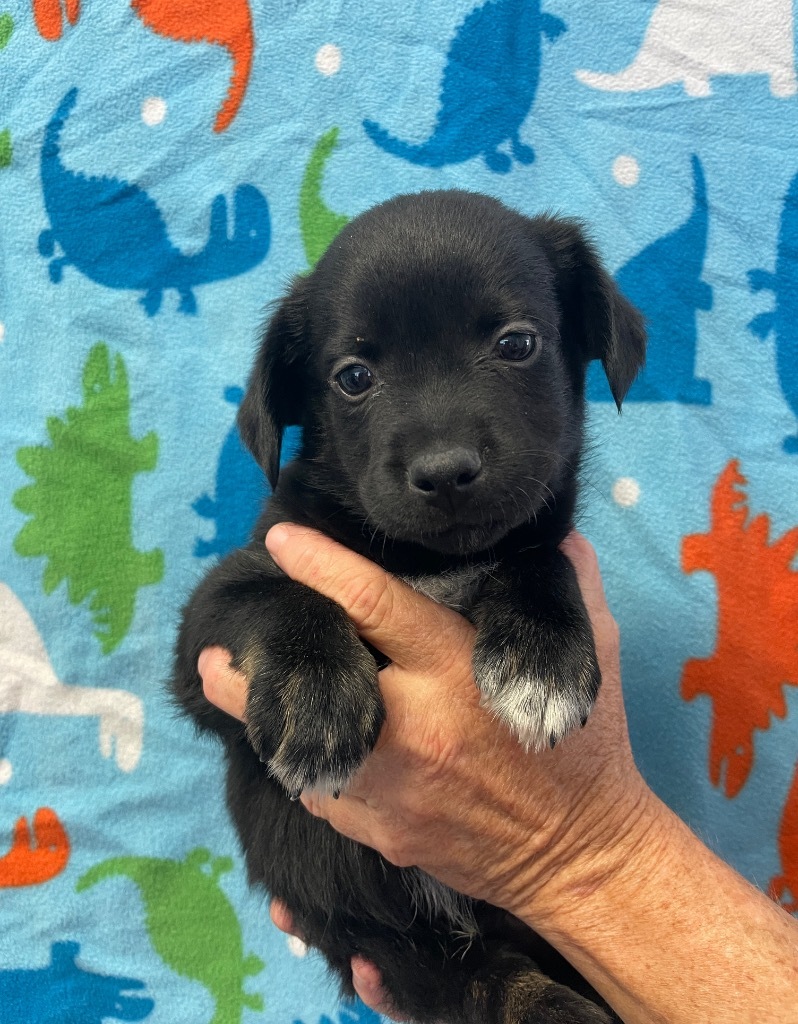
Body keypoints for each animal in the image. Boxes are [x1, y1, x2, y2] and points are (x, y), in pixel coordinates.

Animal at [172, 188, 647, 1019]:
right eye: (354, 377)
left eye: (517, 344)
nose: (446, 470)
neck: (430, 562)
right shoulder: (208, 640)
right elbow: (282, 594)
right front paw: (317, 696)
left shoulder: (535, 536)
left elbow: (536, 555)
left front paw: (541, 660)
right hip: (390, 940)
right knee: (484, 981)